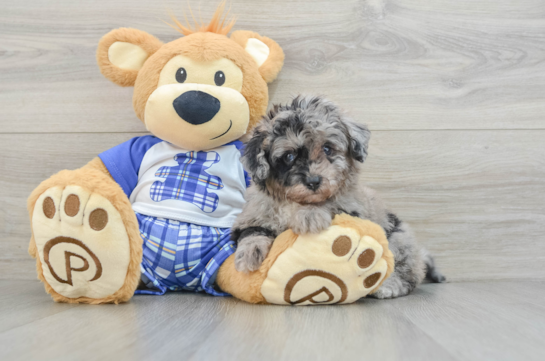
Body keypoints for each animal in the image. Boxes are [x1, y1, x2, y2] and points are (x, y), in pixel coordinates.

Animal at [232, 94, 444, 296]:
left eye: (327, 148)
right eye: (289, 156)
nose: (314, 182)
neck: (293, 202)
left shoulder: (352, 212)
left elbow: (329, 204)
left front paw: (310, 215)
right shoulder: (252, 216)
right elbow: (252, 232)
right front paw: (248, 254)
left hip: (398, 240)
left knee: (408, 272)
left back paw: (389, 286)